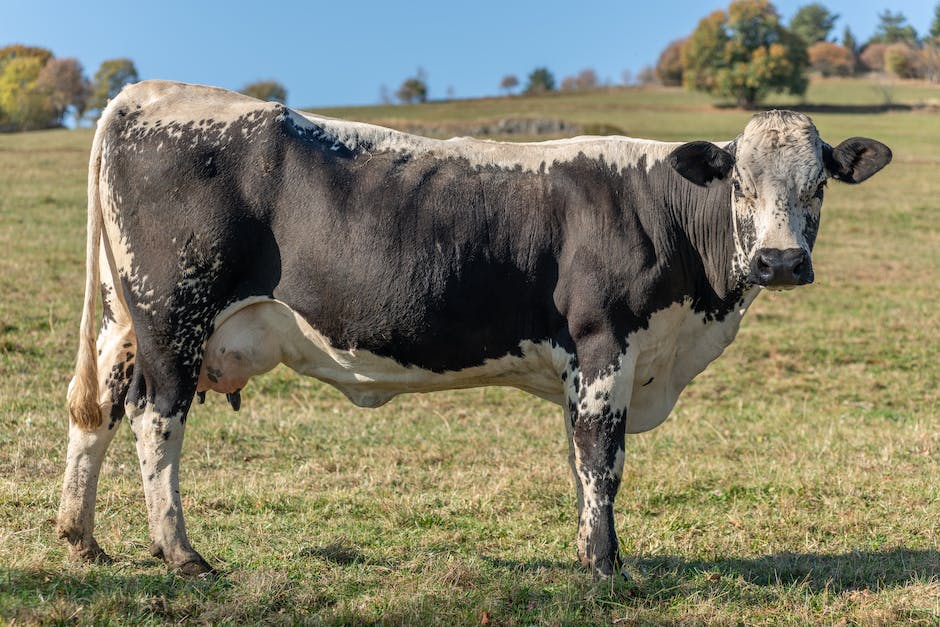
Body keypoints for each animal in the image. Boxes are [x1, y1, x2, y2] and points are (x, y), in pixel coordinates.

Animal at [55, 81, 892, 580]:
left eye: (819, 185)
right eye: (740, 184)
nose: (780, 261)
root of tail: (147, 93)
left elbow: (577, 460)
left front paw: (588, 552)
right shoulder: (604, 342)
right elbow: (602, 459)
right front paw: (605, 566)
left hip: (129, 320)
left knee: (98, 410)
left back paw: (82, 536)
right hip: (174, 315)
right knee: (155, 418)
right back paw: (181, 552)